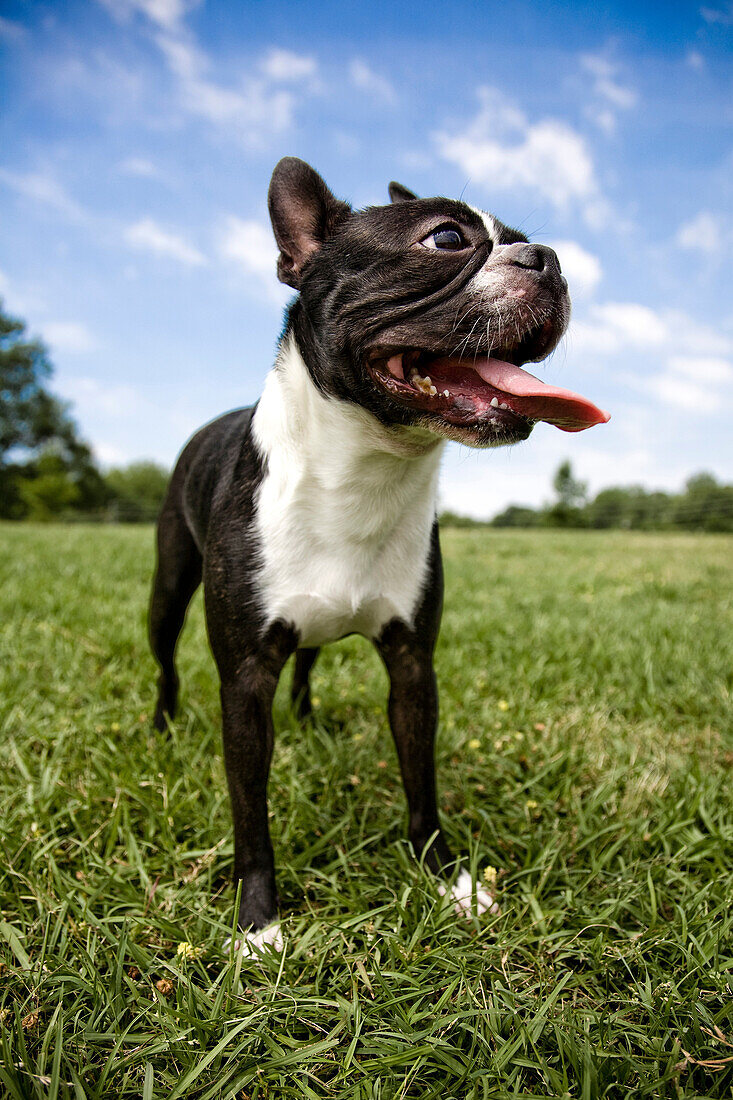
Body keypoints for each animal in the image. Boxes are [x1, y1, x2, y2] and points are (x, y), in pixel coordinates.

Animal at [147, 157, 603, 954]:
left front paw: (447, 881)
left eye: (522, 237)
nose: (545, 258)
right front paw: (258, 923)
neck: (366, 472)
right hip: (168, 588)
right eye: (446, 238)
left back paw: (304, 723)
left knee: (306, 661)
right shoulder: (243, 679)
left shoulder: (413, 666)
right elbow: (250, 817)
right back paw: (163, 726)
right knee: (167, 660)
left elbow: (421, 787)